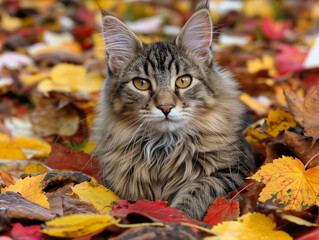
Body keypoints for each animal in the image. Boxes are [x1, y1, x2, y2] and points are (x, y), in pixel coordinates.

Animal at [94, 0, 256, 220]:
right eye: (141, 84)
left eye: (183, 81)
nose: (166, 107)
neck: (164, 149)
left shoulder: (235, 170)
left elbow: (200, 186)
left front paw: (180, 216)